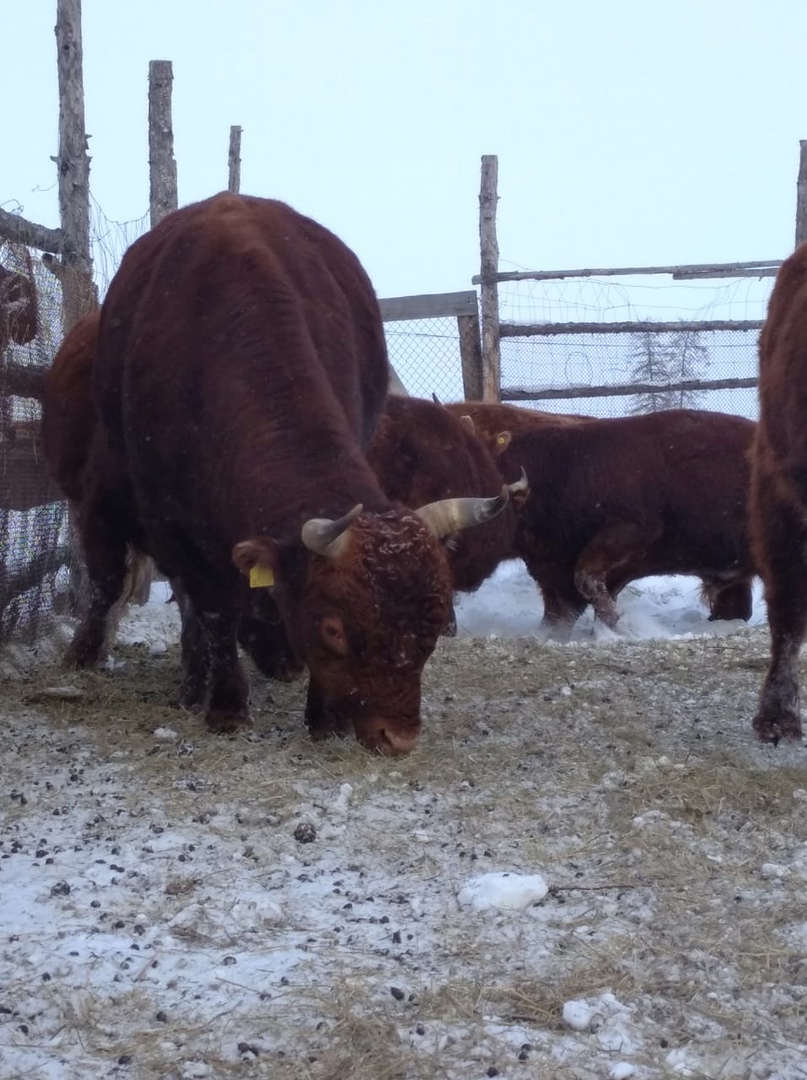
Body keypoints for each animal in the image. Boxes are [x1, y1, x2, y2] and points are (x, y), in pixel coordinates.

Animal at [70, 192, 512, 751]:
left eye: (431, 628)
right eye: (334, 629)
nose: (399, 737)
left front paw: (322, 716)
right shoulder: (178, 532)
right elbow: (213, 610)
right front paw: (226, 705)